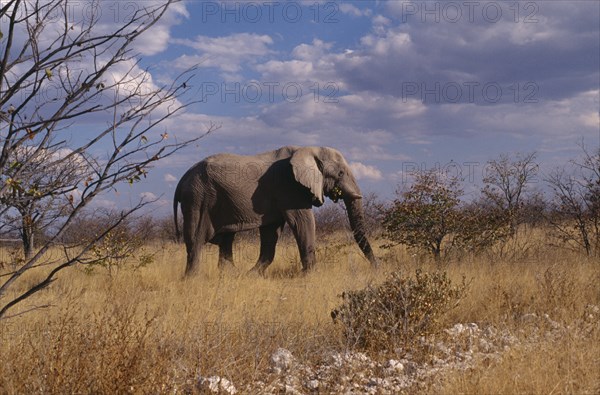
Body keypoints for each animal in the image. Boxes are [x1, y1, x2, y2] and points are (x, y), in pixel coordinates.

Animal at [173, 145, 378, 276]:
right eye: (341, 173)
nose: (376, 269)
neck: (309, 149)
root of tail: (182, 179)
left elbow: (271, 233)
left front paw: (252, 275)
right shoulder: (289, 187)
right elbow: (303, 222)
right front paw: (311, 276)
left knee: (225, 239)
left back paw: (231, 275)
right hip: (198, 198)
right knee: (196, 239)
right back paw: (192, 280)